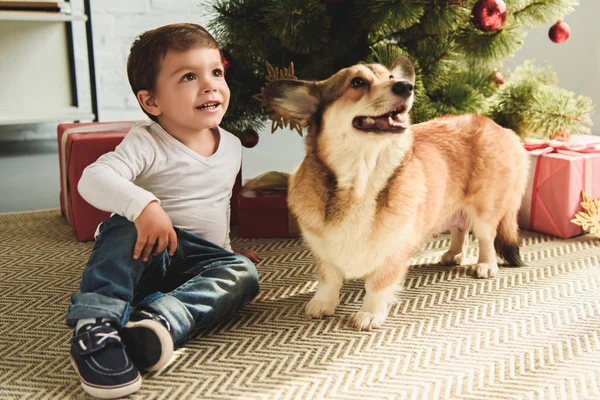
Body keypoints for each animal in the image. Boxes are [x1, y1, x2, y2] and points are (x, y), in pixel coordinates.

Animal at [264, 57, 528, 332]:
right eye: (357, 82)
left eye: (391, 77)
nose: (406, 87)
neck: (361, 178)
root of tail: (501, 129)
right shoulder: (323, 250)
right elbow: (329, 279)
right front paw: (323, 304)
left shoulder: (393, 248)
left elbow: (377, 284)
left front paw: (369, 314)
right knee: (460, 228)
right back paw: (453, 254)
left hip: (485, 210)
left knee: (487, 238)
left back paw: (485, 265)